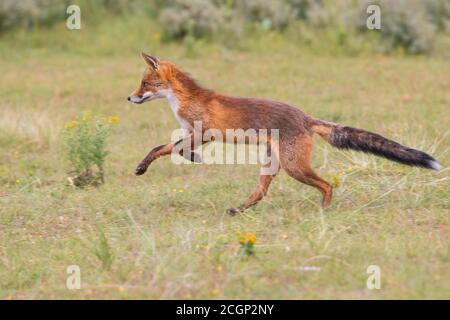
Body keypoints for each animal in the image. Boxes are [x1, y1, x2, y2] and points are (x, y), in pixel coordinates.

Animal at [127, 52, 442, 215]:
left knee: (327, 185)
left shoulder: (205, 133)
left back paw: (324, 211)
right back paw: (238, 210)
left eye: (145, 84)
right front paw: (157, 164)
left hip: (294, 167)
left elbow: (171, 149)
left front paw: (180, 160)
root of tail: (305, 117)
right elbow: (165, 147)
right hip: (273, 165)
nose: (129, 98)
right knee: (261, 192)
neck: (184, 100)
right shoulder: (190, 133)